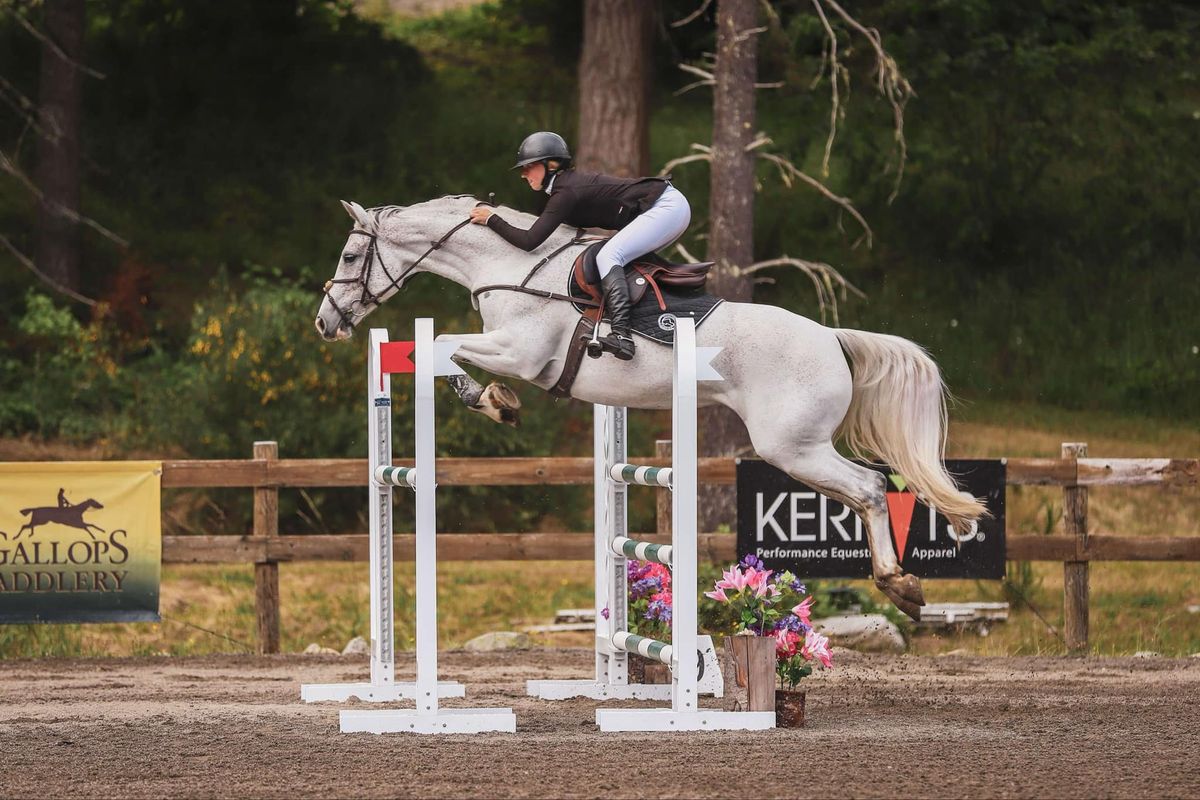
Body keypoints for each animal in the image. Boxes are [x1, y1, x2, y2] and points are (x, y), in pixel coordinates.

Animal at [319, 195, 984, 618]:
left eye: (350, 257)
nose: (326, 322)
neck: (511, 264)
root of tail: (833, 338)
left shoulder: (522, 353)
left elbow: (441, 347)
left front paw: (495, 401)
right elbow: (442, 350)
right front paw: (494, 401)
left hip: (792, 446)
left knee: (870, 488)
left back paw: (900, 585)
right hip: (798, 450)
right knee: (865, 491)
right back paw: (900, 585)